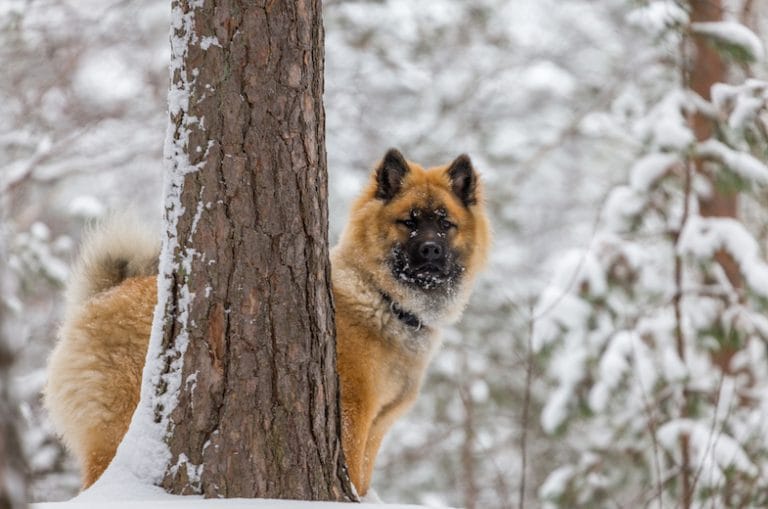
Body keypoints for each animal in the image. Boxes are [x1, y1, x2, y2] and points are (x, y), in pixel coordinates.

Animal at [45, 149, 492, 494]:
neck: (383, 298)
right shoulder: (352, 415)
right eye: (409, 221)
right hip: (118, 428)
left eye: (445, 223)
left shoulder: (379, 426)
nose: (431, 250)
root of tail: (101, 297)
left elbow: (363, 481)